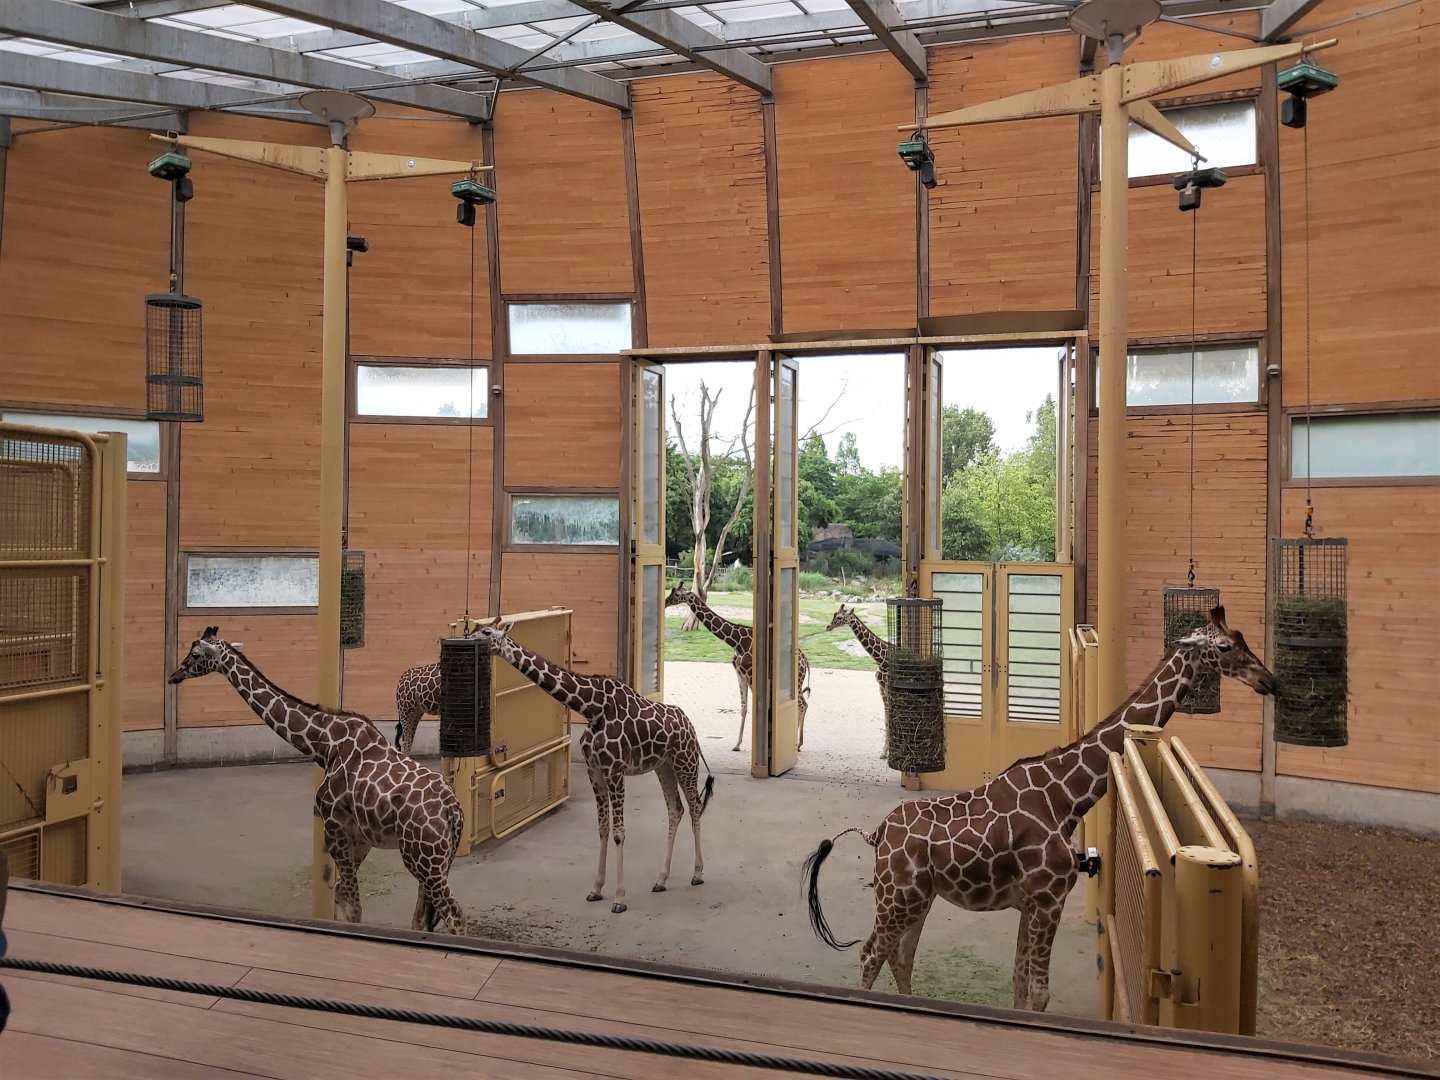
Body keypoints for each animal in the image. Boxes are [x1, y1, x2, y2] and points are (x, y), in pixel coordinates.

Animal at [168, 627, 467, 935]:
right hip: (431, 858)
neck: (325, 744)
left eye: (196, 654)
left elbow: (353, 907)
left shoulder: (334, 826)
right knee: (422, 918)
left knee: (454, 914)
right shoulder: (361, 837)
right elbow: (342, 894)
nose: (174, 675)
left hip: (424, 859)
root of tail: (454, 811)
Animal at [469, 618, 714, 914]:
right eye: (474, 630)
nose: (465, 640)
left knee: (695, 807)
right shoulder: (594, 771)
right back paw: (661, 879)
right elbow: (602, 829)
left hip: (685, 762)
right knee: (675, 809)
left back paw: (698, 873)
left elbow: (619, 832)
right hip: (663, 767)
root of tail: (691, 727)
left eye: (486, 632)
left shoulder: (615, 770)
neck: (591, 708)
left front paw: (619, 898)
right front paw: (596, 889)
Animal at [664, 583, 812, 752]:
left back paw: (798, 744)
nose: (665, 602)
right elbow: (744, 707)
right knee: (801, 704)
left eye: (676, 594)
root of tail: (805, 661)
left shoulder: (751, 674)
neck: (736, 642)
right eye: (672, 591)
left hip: (795, 681)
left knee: (803, 704)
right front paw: (737, 744)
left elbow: (757, 706)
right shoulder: (740, 674)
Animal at [826, 603, 892, 758]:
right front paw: (884, 752)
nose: (828, 626)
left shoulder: (889, 689)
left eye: (839, 617)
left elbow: (890, 718)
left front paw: (889, 752)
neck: (881, 660)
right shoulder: (881, 689)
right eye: (834, 614)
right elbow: (886, 718)